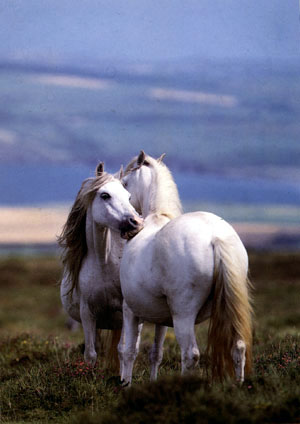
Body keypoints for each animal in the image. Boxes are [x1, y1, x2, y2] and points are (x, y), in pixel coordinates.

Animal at [119, 152, 253, 384]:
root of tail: (215, 236)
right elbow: (156, 353)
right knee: (238, 346)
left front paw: (125, 384)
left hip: (184, 314)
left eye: (126, 185)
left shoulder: (130, 311)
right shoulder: (161, 319)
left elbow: (130, 352)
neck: (157, 218)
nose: (132, 225)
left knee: (190, 354)